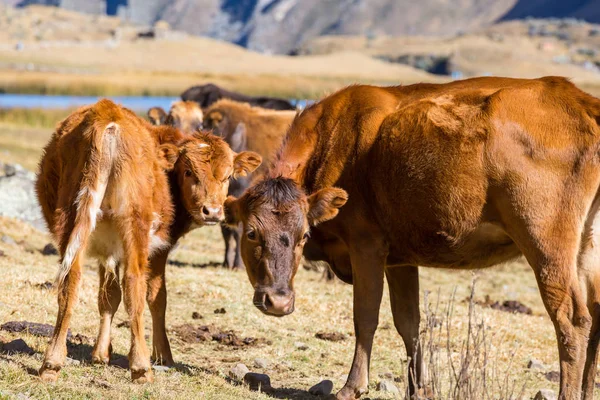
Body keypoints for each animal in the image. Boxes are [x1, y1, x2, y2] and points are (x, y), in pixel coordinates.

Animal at [36, 98, 262, 382]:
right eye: (188, 172)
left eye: (228, 176)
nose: (212, 211)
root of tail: (107, 114)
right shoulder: (159, 249)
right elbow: (156, 297)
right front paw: (163, 354)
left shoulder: (107, 249)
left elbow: (108, 297)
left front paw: (101, 353)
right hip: (136, 229)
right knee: (134, 284)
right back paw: (141, 366)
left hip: (71, 222)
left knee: (70, 282)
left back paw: (52, 363)